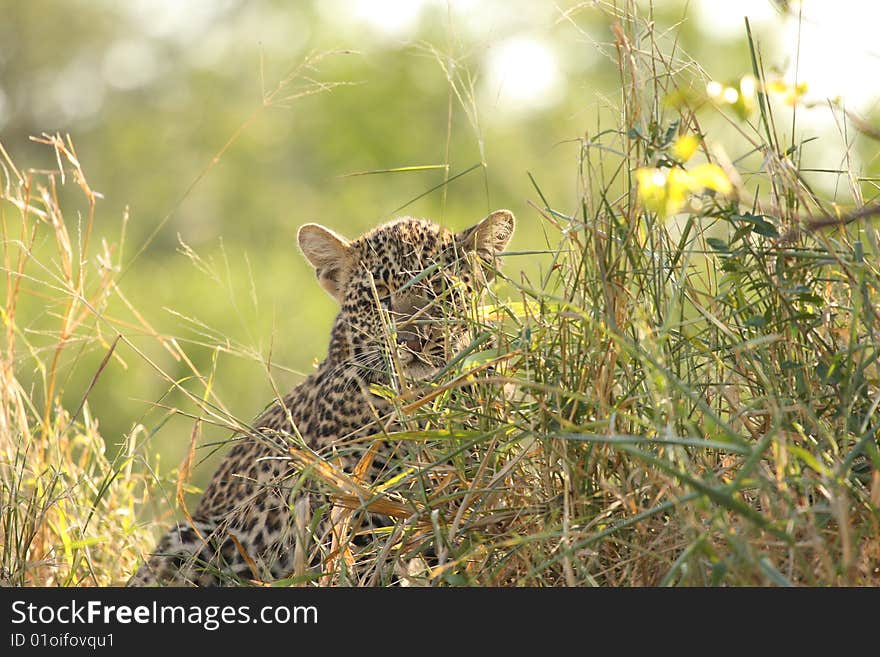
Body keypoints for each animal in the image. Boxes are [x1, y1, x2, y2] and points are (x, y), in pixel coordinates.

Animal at [130, 210, 516, 584]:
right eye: (380, 295)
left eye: (441, 290)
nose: (412, 340)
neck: (419, 399)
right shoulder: (348, 510)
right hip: (191, 540)